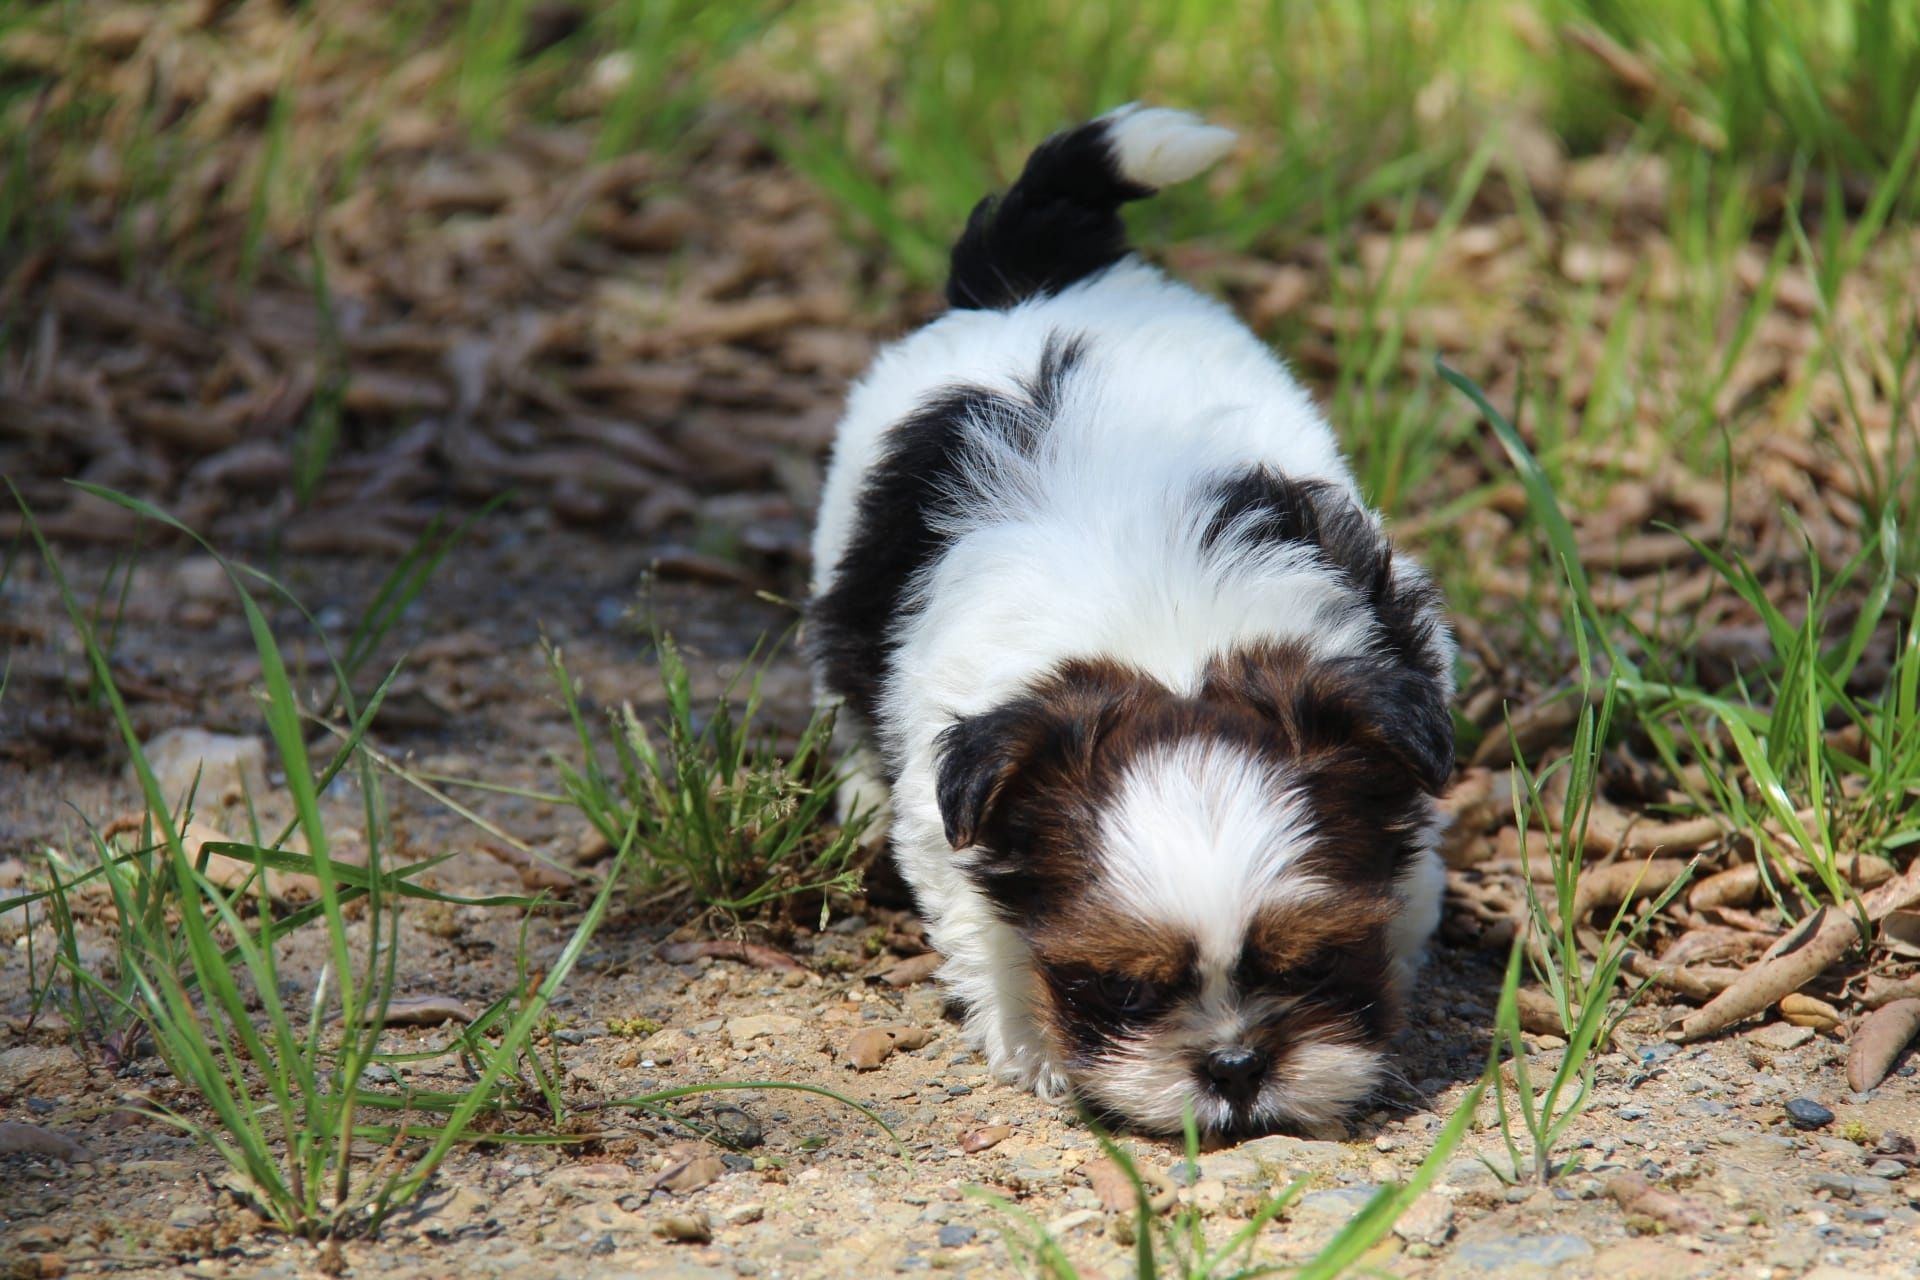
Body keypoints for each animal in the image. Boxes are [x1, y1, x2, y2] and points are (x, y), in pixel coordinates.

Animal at [810, 105, 1451, 1136]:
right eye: (1122, 988)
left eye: (1312, 963)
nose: (1234, 1066)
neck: (1170, 647)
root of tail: (1028, 278)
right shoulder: (950, 793)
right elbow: (979, 913)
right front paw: (1034, 1045)